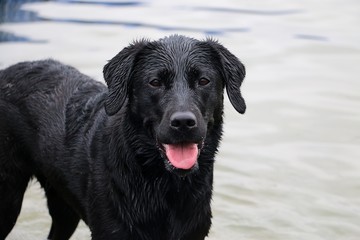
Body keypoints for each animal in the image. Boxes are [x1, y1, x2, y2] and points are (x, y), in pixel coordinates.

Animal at [0, 34, 245, 239]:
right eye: (154, 82)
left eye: (203, 81)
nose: (183, 122)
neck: (163, 187)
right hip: (9, 199)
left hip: (63, 207)